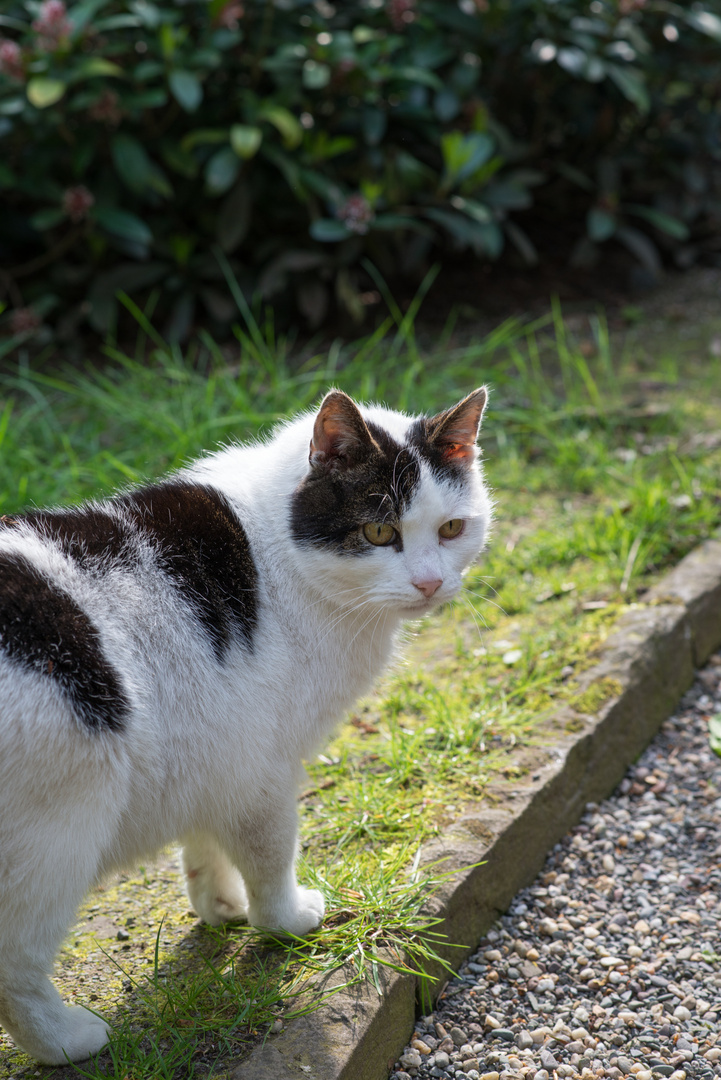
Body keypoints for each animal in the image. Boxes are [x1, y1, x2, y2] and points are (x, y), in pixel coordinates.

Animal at [0, 386, 490, 1062]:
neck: (280, 554)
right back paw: (66, 1042)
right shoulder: (265, 768)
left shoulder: (217, 746)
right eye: (378, 531)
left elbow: (206, 836)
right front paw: (283, 920)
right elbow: (270, 852)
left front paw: (219, 904)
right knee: (16, 967)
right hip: (52, 843)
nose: (429, 582)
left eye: (451, 529)